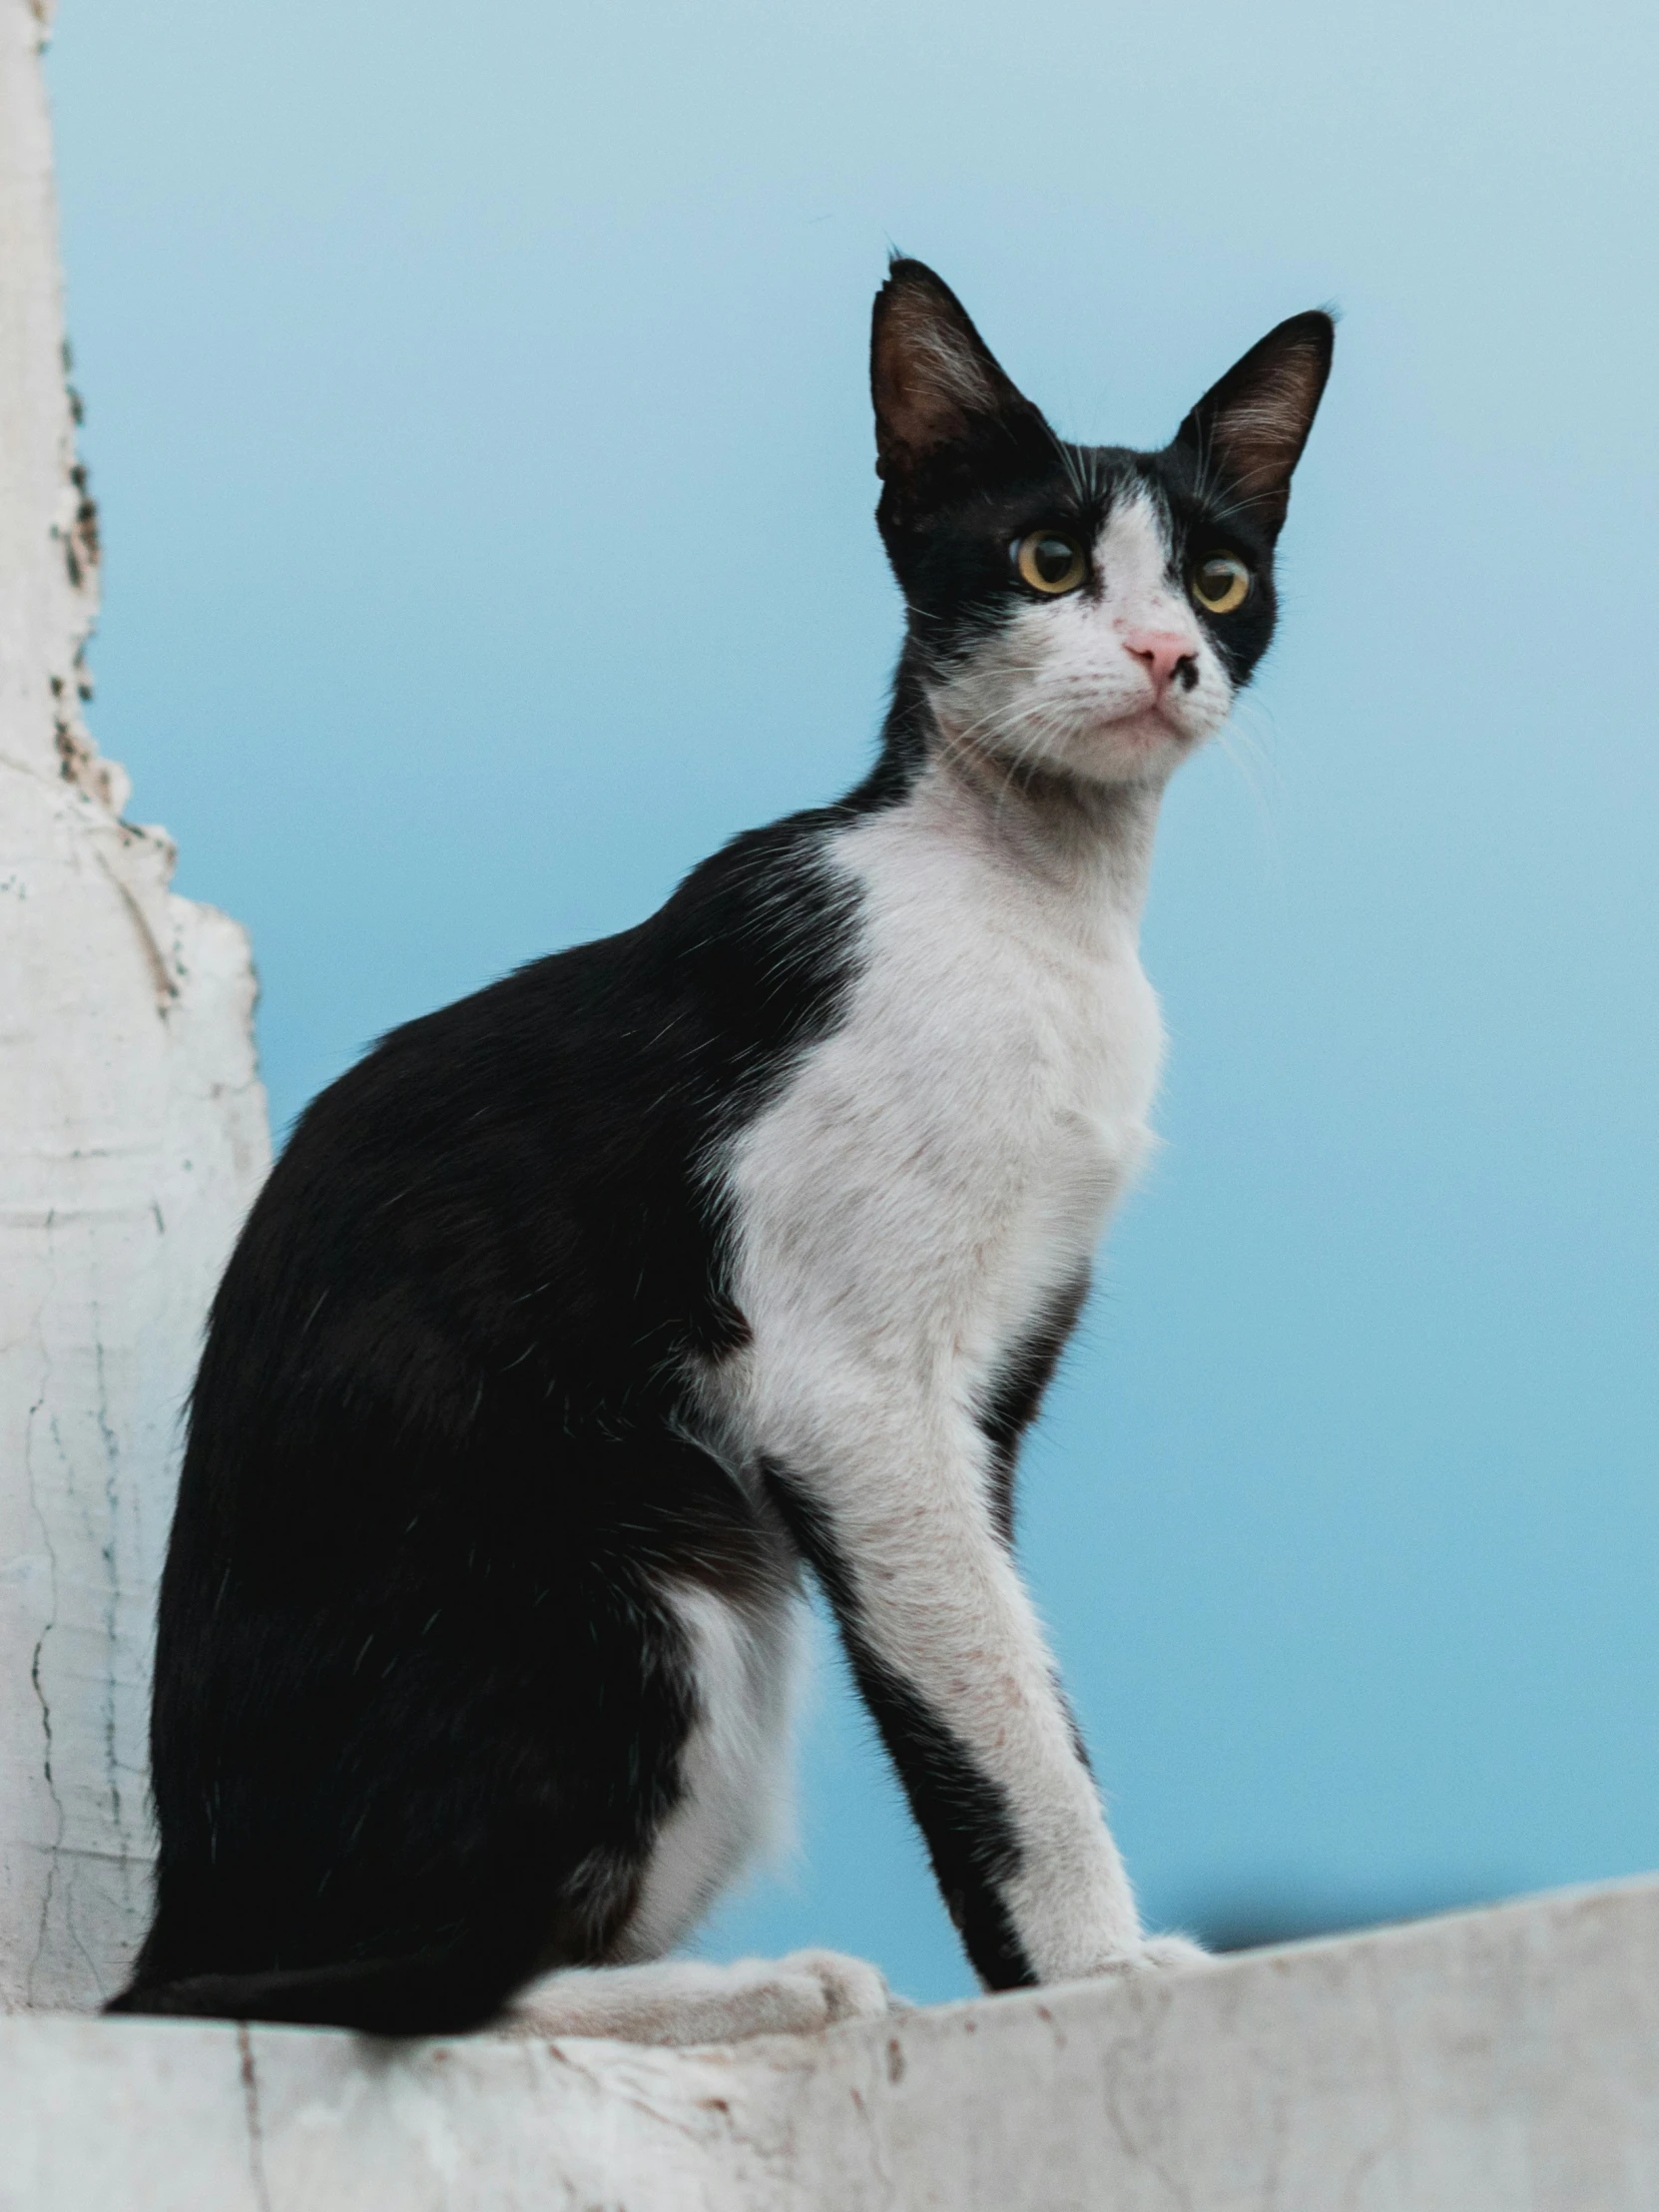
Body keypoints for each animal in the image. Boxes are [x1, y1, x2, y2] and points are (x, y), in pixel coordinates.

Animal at [110, 268, 1336, 2043]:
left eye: (1219, 576)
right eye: (1047, 561)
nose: (1167, 653)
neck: (1035, 908)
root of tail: (177, 1901)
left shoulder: (993, 1375)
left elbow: (1014, 1667)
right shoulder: (851, 1390)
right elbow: (993, 1713)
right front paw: (1094, 1968)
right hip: (632, 1601)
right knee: (339, 1988)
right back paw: (763, 1990)